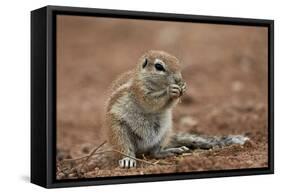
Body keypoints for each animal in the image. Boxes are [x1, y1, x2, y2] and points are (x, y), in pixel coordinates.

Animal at [104, 50, 247, 168]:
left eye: (178, 62)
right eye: (159, 66)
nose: (178, 79)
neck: (156, 86)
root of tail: (142, 149)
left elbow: (168, 105)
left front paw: (183, 87)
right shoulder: (140, 91)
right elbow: (150, 102)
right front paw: (169, 90)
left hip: (164, 131)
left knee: (154, 152)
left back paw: (170, 151)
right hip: (119, 131)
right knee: (125, 148)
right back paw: (128, 160)